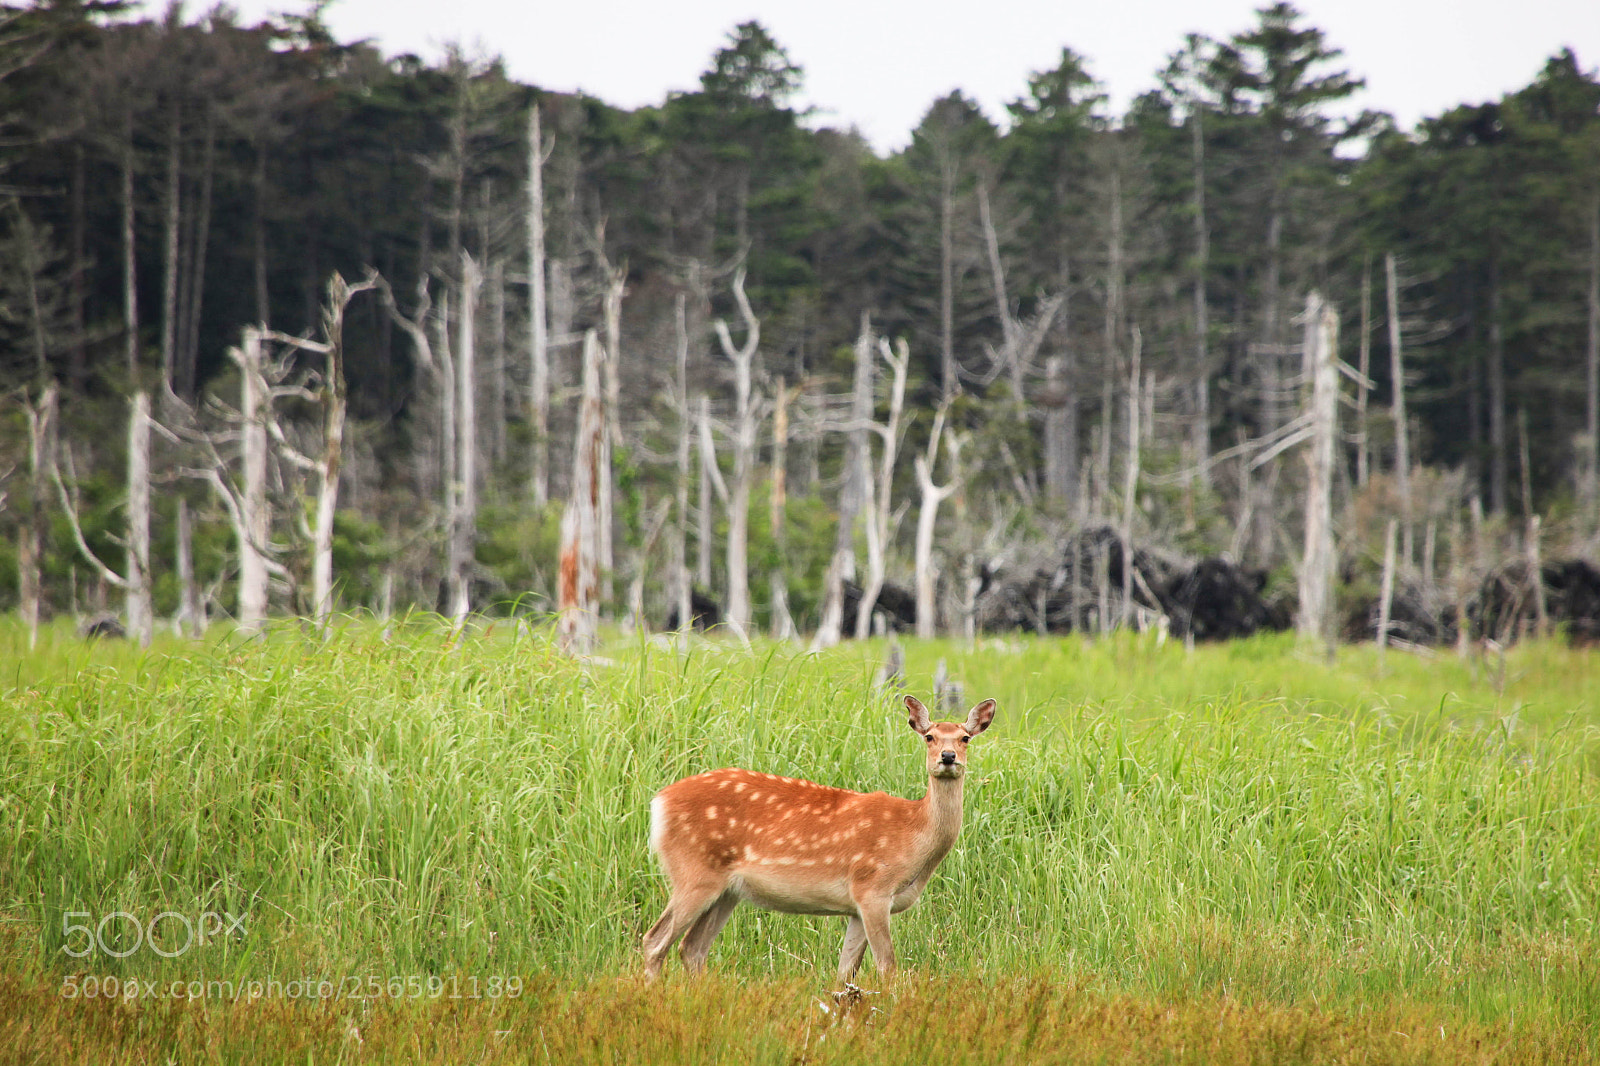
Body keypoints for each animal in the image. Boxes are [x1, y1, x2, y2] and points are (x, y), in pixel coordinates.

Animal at [642, 694, 997, 983]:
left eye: (965, 737)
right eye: (929, 736)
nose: (948, 757)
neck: (913, 837)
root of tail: (659, 802)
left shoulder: (856, 906)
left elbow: (846, 973)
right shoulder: (872, 888)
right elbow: (887, 966)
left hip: (727, 890)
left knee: (692, 948)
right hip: (694, 871)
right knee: (655, 941)